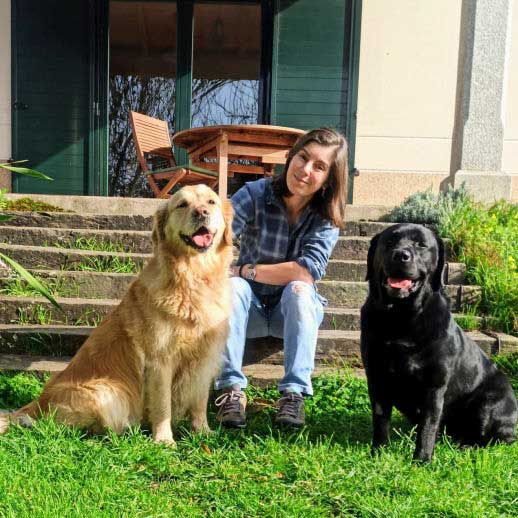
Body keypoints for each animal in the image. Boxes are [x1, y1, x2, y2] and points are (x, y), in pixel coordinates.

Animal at [0, 184, 234, 445]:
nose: (201, 212)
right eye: (182, 204)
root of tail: (38, 402)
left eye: (211, 202)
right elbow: (163, 405)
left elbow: (200, 401)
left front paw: (203, 432)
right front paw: (164, 440)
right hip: (108, 391)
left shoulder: (205, 358)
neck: (194, 278)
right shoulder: (160, 360)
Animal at [361, 223, 517, 462]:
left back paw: (466, 447)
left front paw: (421, 460)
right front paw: (377, 453)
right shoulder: (377, 378)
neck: (401, 320)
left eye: (421, 244)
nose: (401, 255)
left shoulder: (433, 386)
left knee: (494, 440)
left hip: (489, 404)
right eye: (390, 241)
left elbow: (428, 426)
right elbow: (380, 420)